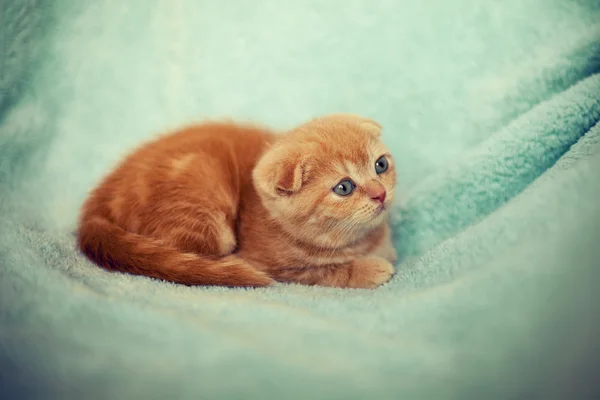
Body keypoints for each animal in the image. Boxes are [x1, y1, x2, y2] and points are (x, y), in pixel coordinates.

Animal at [78, 114, 398, 290]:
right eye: (344, 187)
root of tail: (100, 198)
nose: (380, 193)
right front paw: (369, 269)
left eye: (380, 165)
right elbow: (322, 272)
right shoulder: (271, 265)